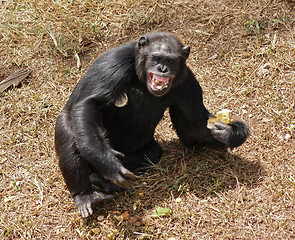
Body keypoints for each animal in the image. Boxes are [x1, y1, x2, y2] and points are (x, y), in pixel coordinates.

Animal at [55, 31, 250, 218]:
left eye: (170, 60)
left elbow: (191, 129)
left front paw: (232, 133)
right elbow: (90, 102)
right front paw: (107, 161)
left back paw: (101, 179)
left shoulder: (188, 83)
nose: (162, 68)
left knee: (154, 151)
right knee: (69, 130)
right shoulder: (112, 64)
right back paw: (86, 194)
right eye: (156, 57)